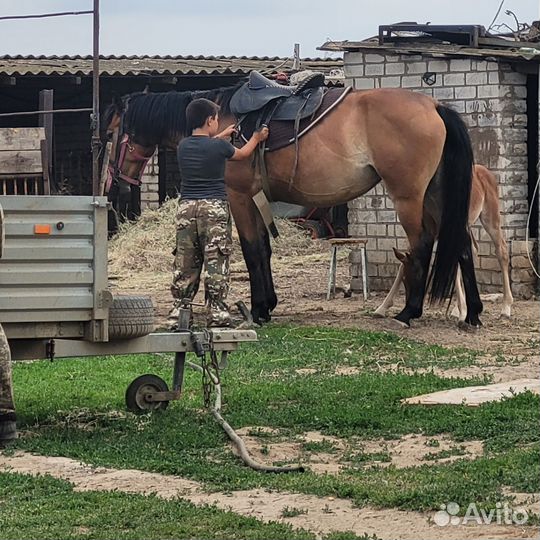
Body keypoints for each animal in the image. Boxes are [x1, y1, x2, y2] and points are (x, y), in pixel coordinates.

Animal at [103, 81, 484, 326]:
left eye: (109, 132)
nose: (116, 185)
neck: (224, 124)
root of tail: (434, 106)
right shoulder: (257, 199)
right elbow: (264, 250)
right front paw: (267, 305)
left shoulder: (240, 198)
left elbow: (252, 250)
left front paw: (259, 310)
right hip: (434, 194)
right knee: (462, 244)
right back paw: (473, 314)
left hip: (409, 197)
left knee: (420, 245)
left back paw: (409, 312)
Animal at [374, 165, 512, 320]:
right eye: (404, 280)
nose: (408, 302)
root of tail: (487, 172)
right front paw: (382, 308)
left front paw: (463, 311)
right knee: (474, 250)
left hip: (491, 217)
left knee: (501, 250)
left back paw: (506, 308)